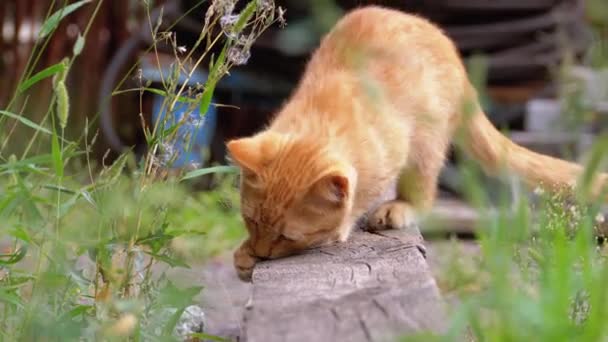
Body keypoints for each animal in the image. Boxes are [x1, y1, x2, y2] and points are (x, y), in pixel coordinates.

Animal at [227, 6, 604, 282]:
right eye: (251, 221)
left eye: (288, 237)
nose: (262, 253)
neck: (323, 122)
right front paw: (245, 254)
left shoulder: (394, 150)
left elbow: (356, 202)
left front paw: (341, 228)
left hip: (426, 141)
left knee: (424, 193)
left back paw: (399, 207)